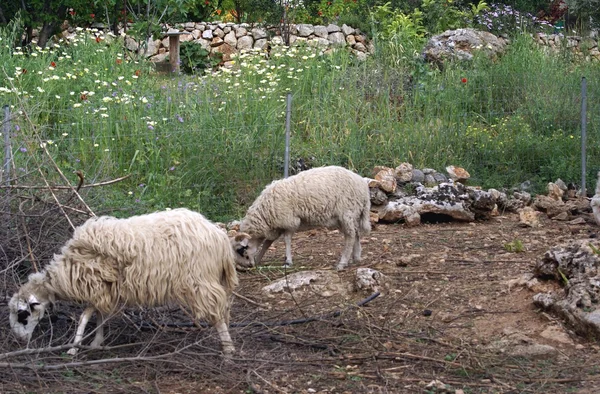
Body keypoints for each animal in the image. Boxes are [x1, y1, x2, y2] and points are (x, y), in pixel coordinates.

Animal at [8, 209, 239, 358]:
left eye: (22, 314)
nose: (19, 341)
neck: (67, 269)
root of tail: (218, 236)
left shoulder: (97, 286)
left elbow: (84, 317)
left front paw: (74, 347)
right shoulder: (103, 290)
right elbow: (98, 316)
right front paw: (96, 342)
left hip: (200, 280)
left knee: (218, 314)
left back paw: (228, 350)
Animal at [231, 165, 368, 270]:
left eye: (241, 249)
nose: (246, 266)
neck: (264, 214)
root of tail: (362, 184)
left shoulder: (289, 221)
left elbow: (286, 240)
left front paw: (288, 261)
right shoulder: (276, 227)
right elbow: (267, 243)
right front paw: (259, 258)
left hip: (347, 212)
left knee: (350, 237)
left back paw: (342, 263)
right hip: (348, 216)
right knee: (356, 234)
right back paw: (356, 257)